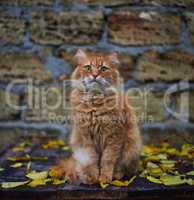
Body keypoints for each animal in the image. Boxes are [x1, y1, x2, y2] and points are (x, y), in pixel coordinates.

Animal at [51, 48, 142, 184]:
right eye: (88, 67)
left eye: (103, 68)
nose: (94, 75)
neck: (95, 102)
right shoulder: (86, 137)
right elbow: (92, 160)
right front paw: (93, 177)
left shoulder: (114, 136)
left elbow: (108, 160)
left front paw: (105, 178)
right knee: (75, 166)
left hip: (132, 148)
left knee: (127, 169)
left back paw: (117, 175)